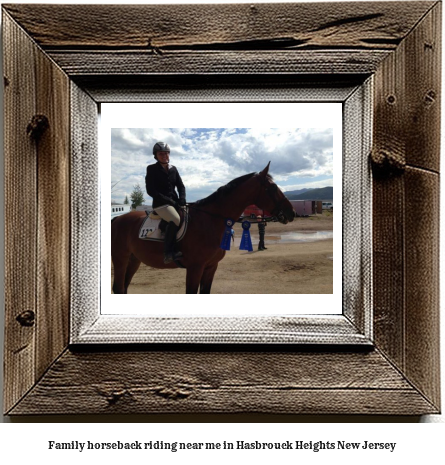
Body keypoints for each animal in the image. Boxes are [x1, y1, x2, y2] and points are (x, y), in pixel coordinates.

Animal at [112, 162, 294, 294]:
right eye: (272, 188)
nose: (291, 212)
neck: (210, 221)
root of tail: (117, 219)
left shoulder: (211, 267)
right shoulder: (195, 268)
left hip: (134, 259)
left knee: (124, 287)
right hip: (121, 259)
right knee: (119, 288)